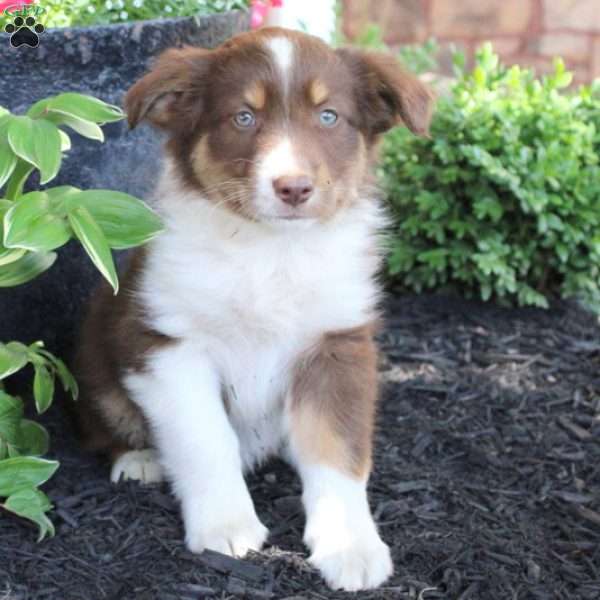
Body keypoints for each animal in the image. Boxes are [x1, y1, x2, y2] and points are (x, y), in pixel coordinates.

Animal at [74, 27, 432, 592]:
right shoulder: (170, 347)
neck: (271, 252)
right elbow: (205, 437)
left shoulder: (338, 345)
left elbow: (339, 449)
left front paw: (350, 546)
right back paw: (139, 458)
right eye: (244, 118)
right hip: (96, 348)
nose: (294, 188)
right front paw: (225, 527)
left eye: (328, 117)